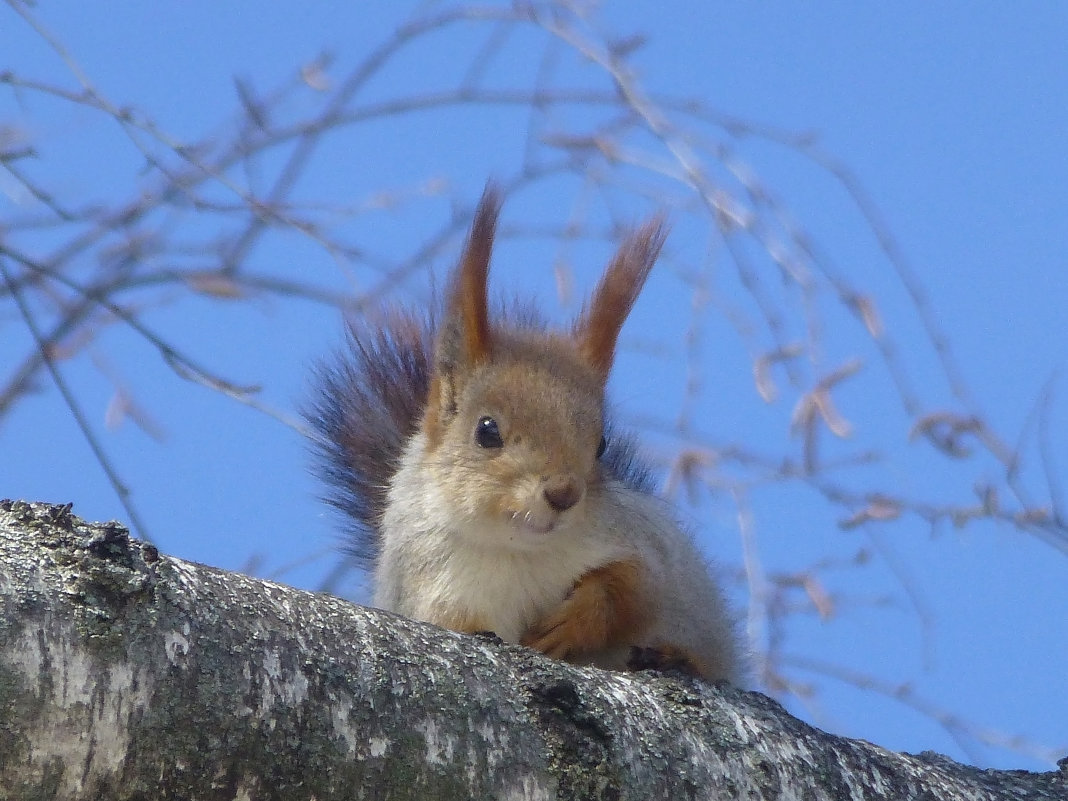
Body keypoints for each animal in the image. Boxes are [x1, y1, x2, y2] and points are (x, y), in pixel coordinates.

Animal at [307, 186, 743, 683]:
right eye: (487, 430)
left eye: (602, 445)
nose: (564, 494)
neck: (518, 548)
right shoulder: (427, 586)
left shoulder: (652, 551)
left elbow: (632, 588)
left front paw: (577, 619)